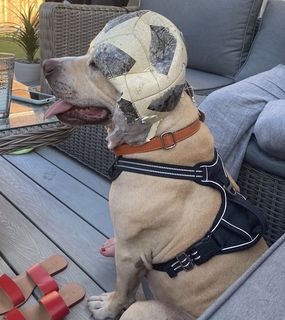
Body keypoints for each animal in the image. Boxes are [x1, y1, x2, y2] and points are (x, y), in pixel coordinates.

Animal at [43, 10, 268, 320]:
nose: (45, 65)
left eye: (97, 65)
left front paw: (108, 307)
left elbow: (122, 288)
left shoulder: (130, 253)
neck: (163, 138)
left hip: (145, 310)